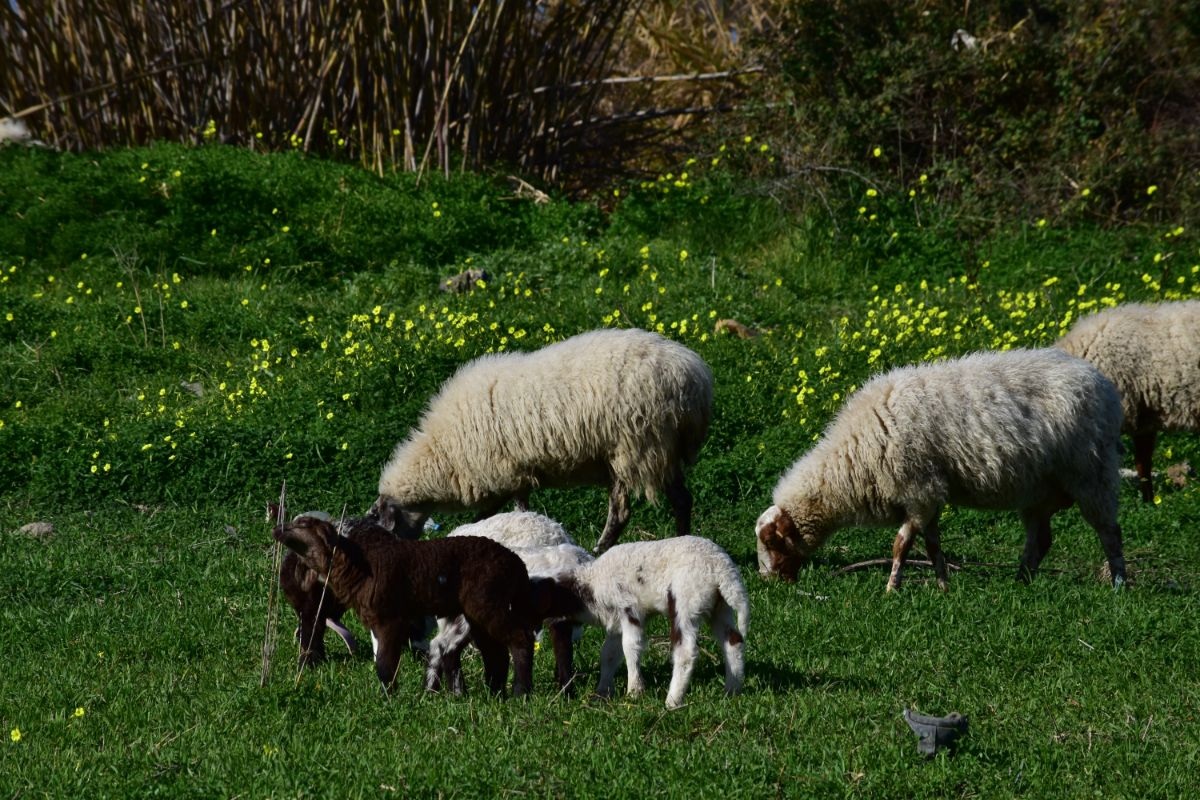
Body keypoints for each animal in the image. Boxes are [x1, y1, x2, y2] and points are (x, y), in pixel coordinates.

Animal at [374, 328, 710, 554]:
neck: (441, 454)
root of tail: (695, 377)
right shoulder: (506, 477)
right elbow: (492, 514)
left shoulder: (507, 472)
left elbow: (516, 511)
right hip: (648, 452)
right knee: (663, 503)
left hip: (640, 445)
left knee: (637, 508)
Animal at [547, 534, 748, 710]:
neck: (592, 586)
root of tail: (722, 570)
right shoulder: (617, 621)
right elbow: (609, 654)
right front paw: (602, 692)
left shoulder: (629, 609)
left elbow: (630, 647)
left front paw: (634, 692)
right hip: (720, 607)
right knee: (733, 641)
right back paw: (732, 691)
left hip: (686, 601)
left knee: (685, 652)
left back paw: (673, 701)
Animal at [753, 347, 1128, 592]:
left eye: (772, 542)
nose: (768, 582)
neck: (853, 458)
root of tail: (1103, 384)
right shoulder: (926, 497)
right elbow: (932, 544)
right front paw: (943, 586)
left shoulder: (920, 490)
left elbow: (901, 545)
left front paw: (892, 589)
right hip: (1039, 491)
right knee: (1041, 539)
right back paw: (1020, 583)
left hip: (1091, 472)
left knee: (1110, 532)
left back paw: (1119, 585)